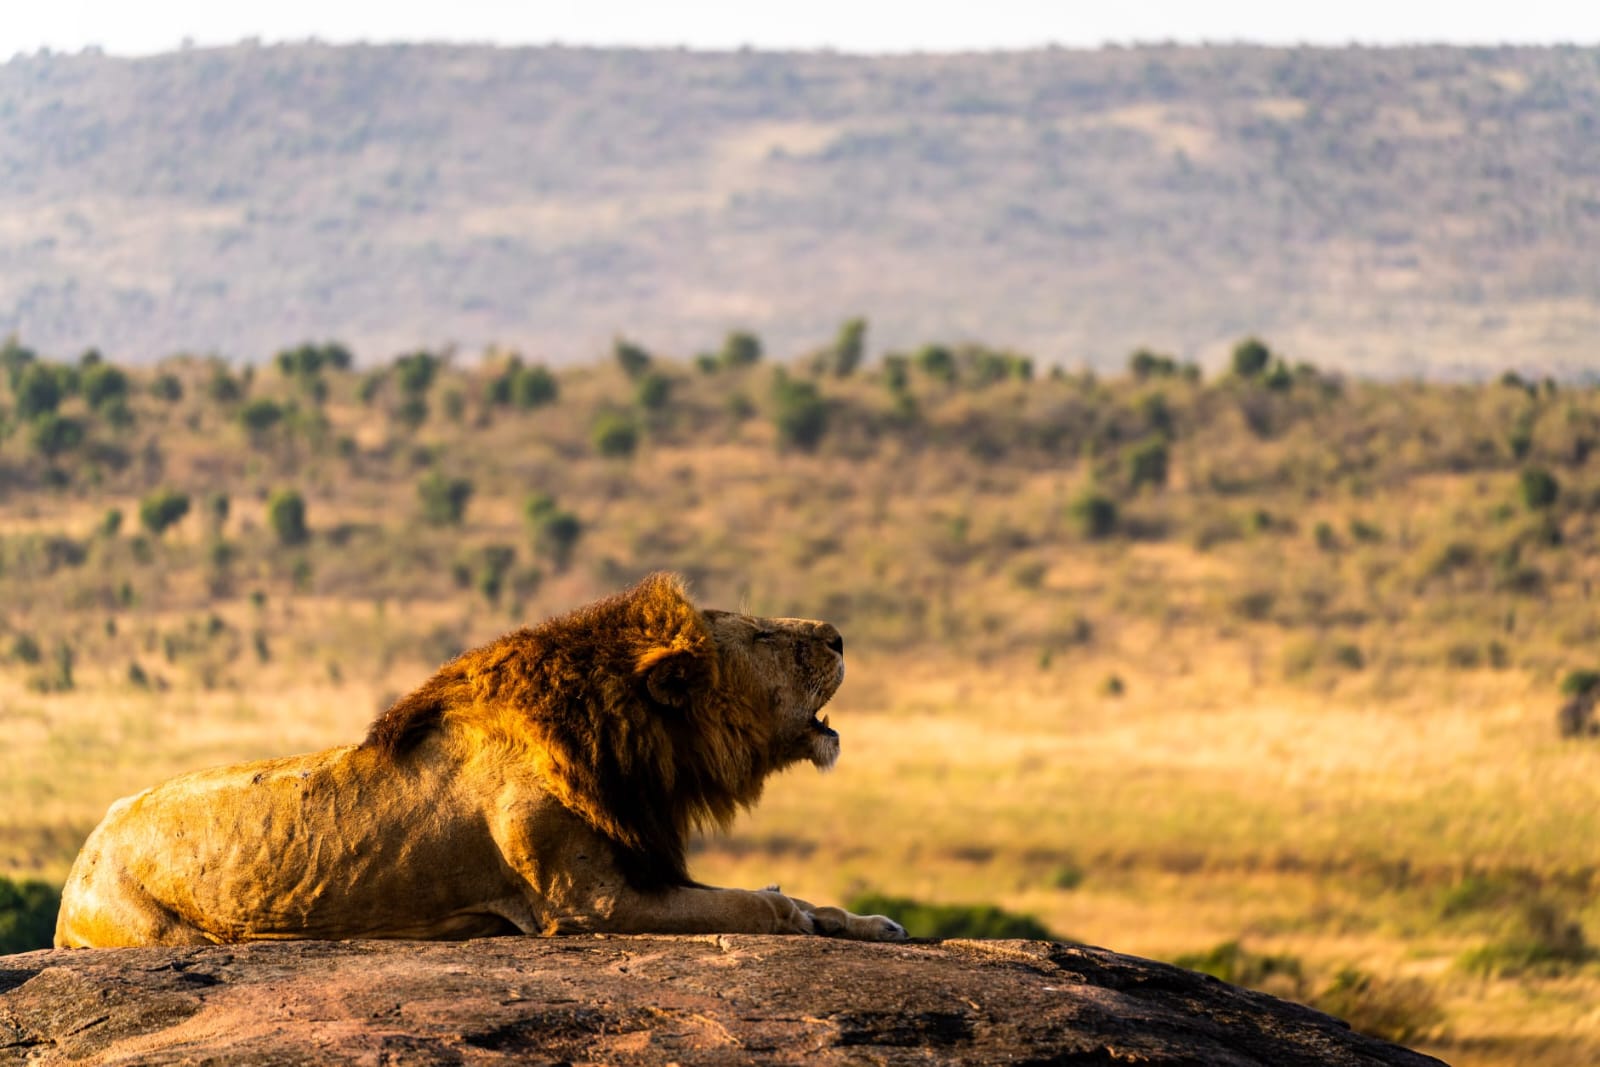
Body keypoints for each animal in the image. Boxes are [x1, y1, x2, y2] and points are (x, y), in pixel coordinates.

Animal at [54, 573, 905, 947]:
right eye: (764, 636)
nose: (838, 634)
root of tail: (84, 851)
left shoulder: (642, 860)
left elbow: (793, 898)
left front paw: (874, 920)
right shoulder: (589, 902)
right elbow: (759, 905)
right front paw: (795, 912)